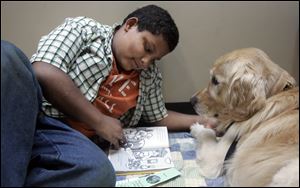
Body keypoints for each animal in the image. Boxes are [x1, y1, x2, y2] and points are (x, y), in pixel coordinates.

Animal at [190, 47, 298, 186]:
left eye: (215, 80)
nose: (191, 100)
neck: (272, 96)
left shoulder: (216, 158)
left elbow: (208, 133)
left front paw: (197, 128)